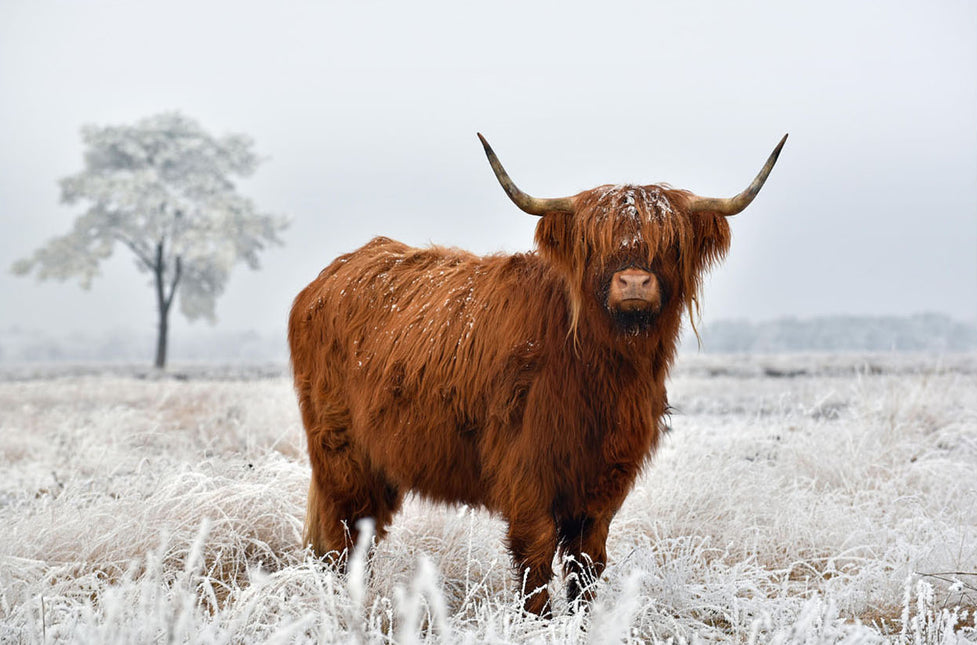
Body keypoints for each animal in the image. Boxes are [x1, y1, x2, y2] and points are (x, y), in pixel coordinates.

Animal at [288, 133, 786, 615]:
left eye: (669, 243)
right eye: (594, 244)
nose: (633, 283)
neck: (602, 374)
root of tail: (330, 277)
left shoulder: (605, 480)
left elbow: (588, 562)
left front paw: (583, 621)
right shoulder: (525, 469)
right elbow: (536, 556)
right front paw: (539, 622)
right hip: (341, 454)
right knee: (344, 535)